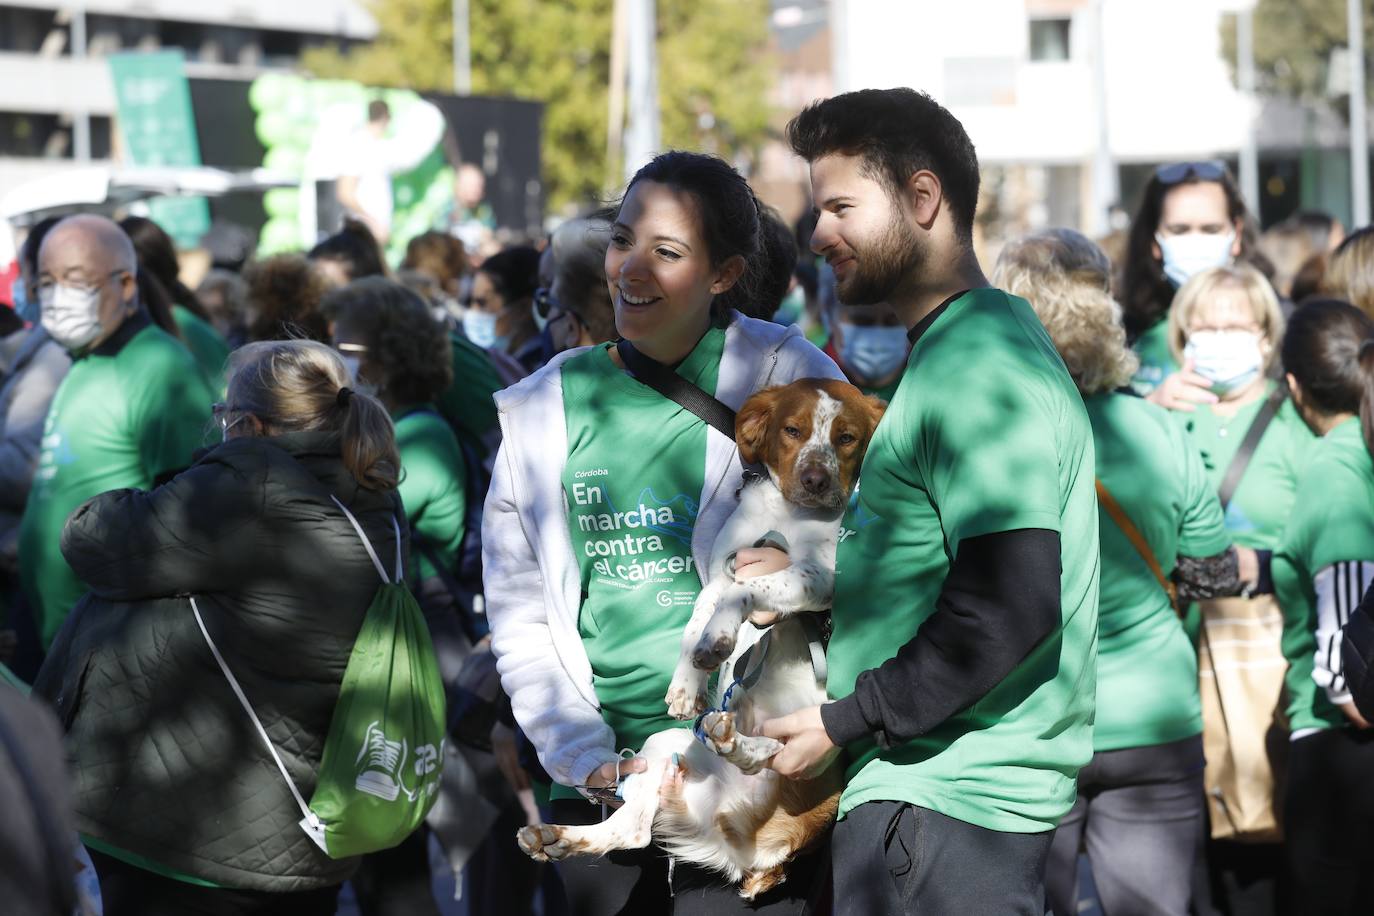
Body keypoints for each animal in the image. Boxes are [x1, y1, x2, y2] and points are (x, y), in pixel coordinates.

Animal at [516, 376, 890, 900]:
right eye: (793, 430)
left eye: (847, 437)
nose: (816, 480)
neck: (787, 517)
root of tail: (754, 851)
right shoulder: (723, 566)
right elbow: (701, 610)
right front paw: (687, 680)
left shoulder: (820, 575)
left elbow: (743, 591)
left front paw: (716, 642)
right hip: (662, 748)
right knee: (631, 830)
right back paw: (556, 837)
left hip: (820, 739)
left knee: (772, 754)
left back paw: (736, 741)